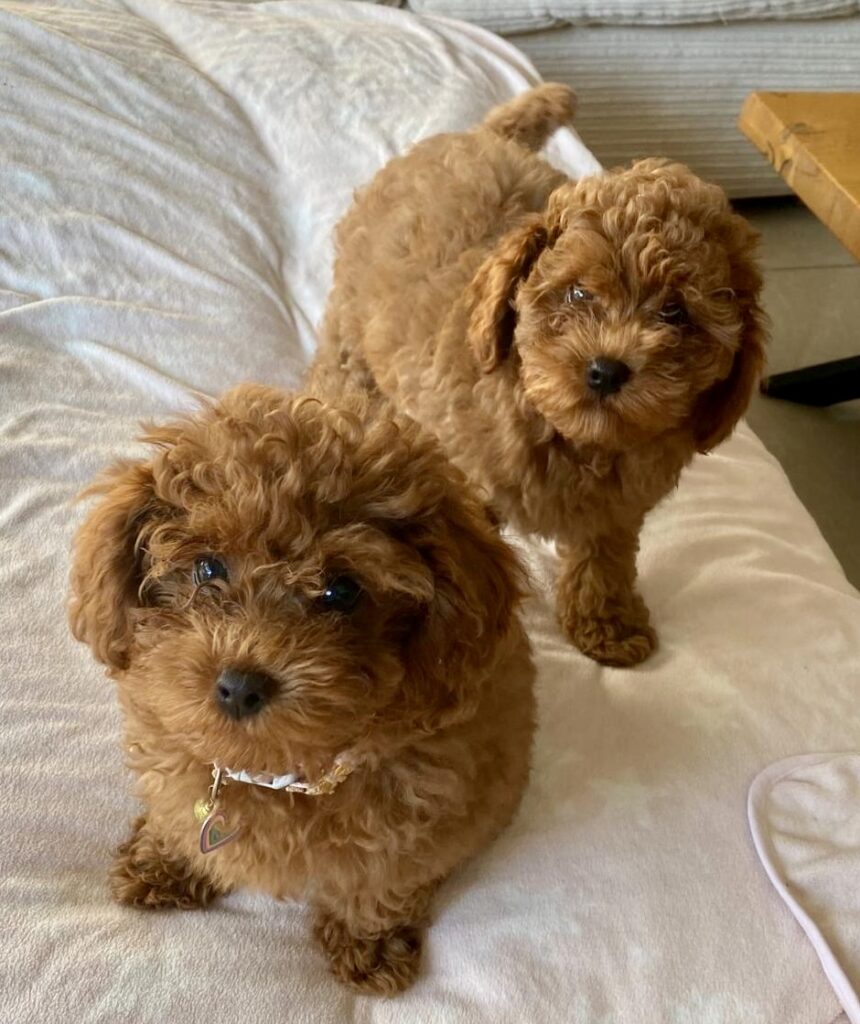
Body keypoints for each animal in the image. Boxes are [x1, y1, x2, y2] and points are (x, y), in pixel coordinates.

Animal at [70, 382, 532, 991]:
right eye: (208, 568)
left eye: (343, 591)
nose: (240, 685)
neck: (278, 768)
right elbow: (179, 817)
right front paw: (164, 863)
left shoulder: (417, 826)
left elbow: (381, 883)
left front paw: (370, 944)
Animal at [317, 83, 765, 667]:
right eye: (578, 292)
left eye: (675, 314)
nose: (605, 370)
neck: (566, 430)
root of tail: (482, 134)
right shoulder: (467, 482)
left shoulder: (617, 508)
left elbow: (604, 558)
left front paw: (607, 626)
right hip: (350, 321)